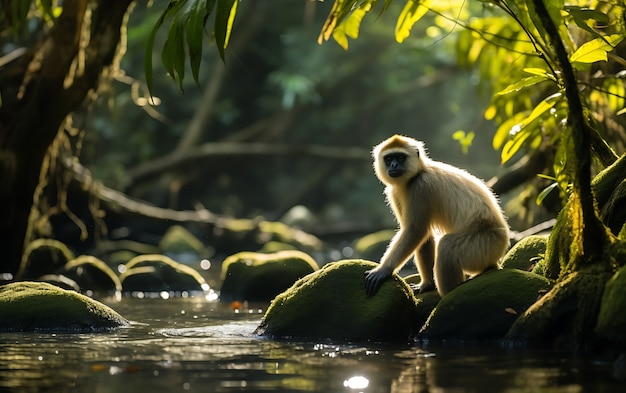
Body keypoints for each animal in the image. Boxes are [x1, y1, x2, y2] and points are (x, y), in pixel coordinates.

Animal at [364, 136, 510, 298]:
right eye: (389, 158)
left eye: (401, 157)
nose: (394, 165)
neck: (419, 172)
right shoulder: (394, 192)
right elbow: (424, 235)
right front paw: (427, 284)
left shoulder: (420, 186)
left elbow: (416, 230)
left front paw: (383, 270)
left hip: (486, 244)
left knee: (447, 245)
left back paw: (451, 293)